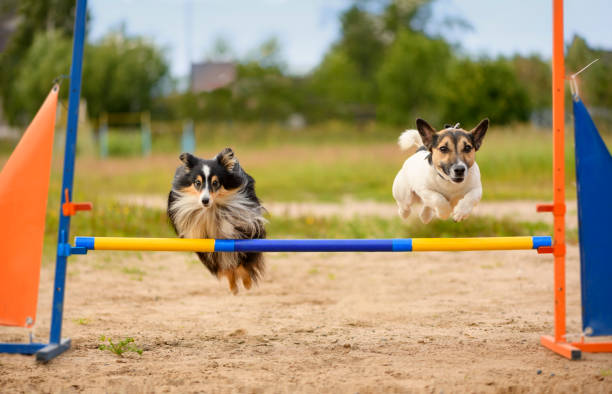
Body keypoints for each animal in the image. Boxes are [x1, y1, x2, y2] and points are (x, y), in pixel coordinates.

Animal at [167, 149, 266, 294]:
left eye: (215, 183)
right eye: (197, 183)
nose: (205, 201)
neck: (212, 210)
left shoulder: (246, 229)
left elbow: (242, 261)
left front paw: (247, 282)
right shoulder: (204, 243)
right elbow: (225, 267)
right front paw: (234, 285)